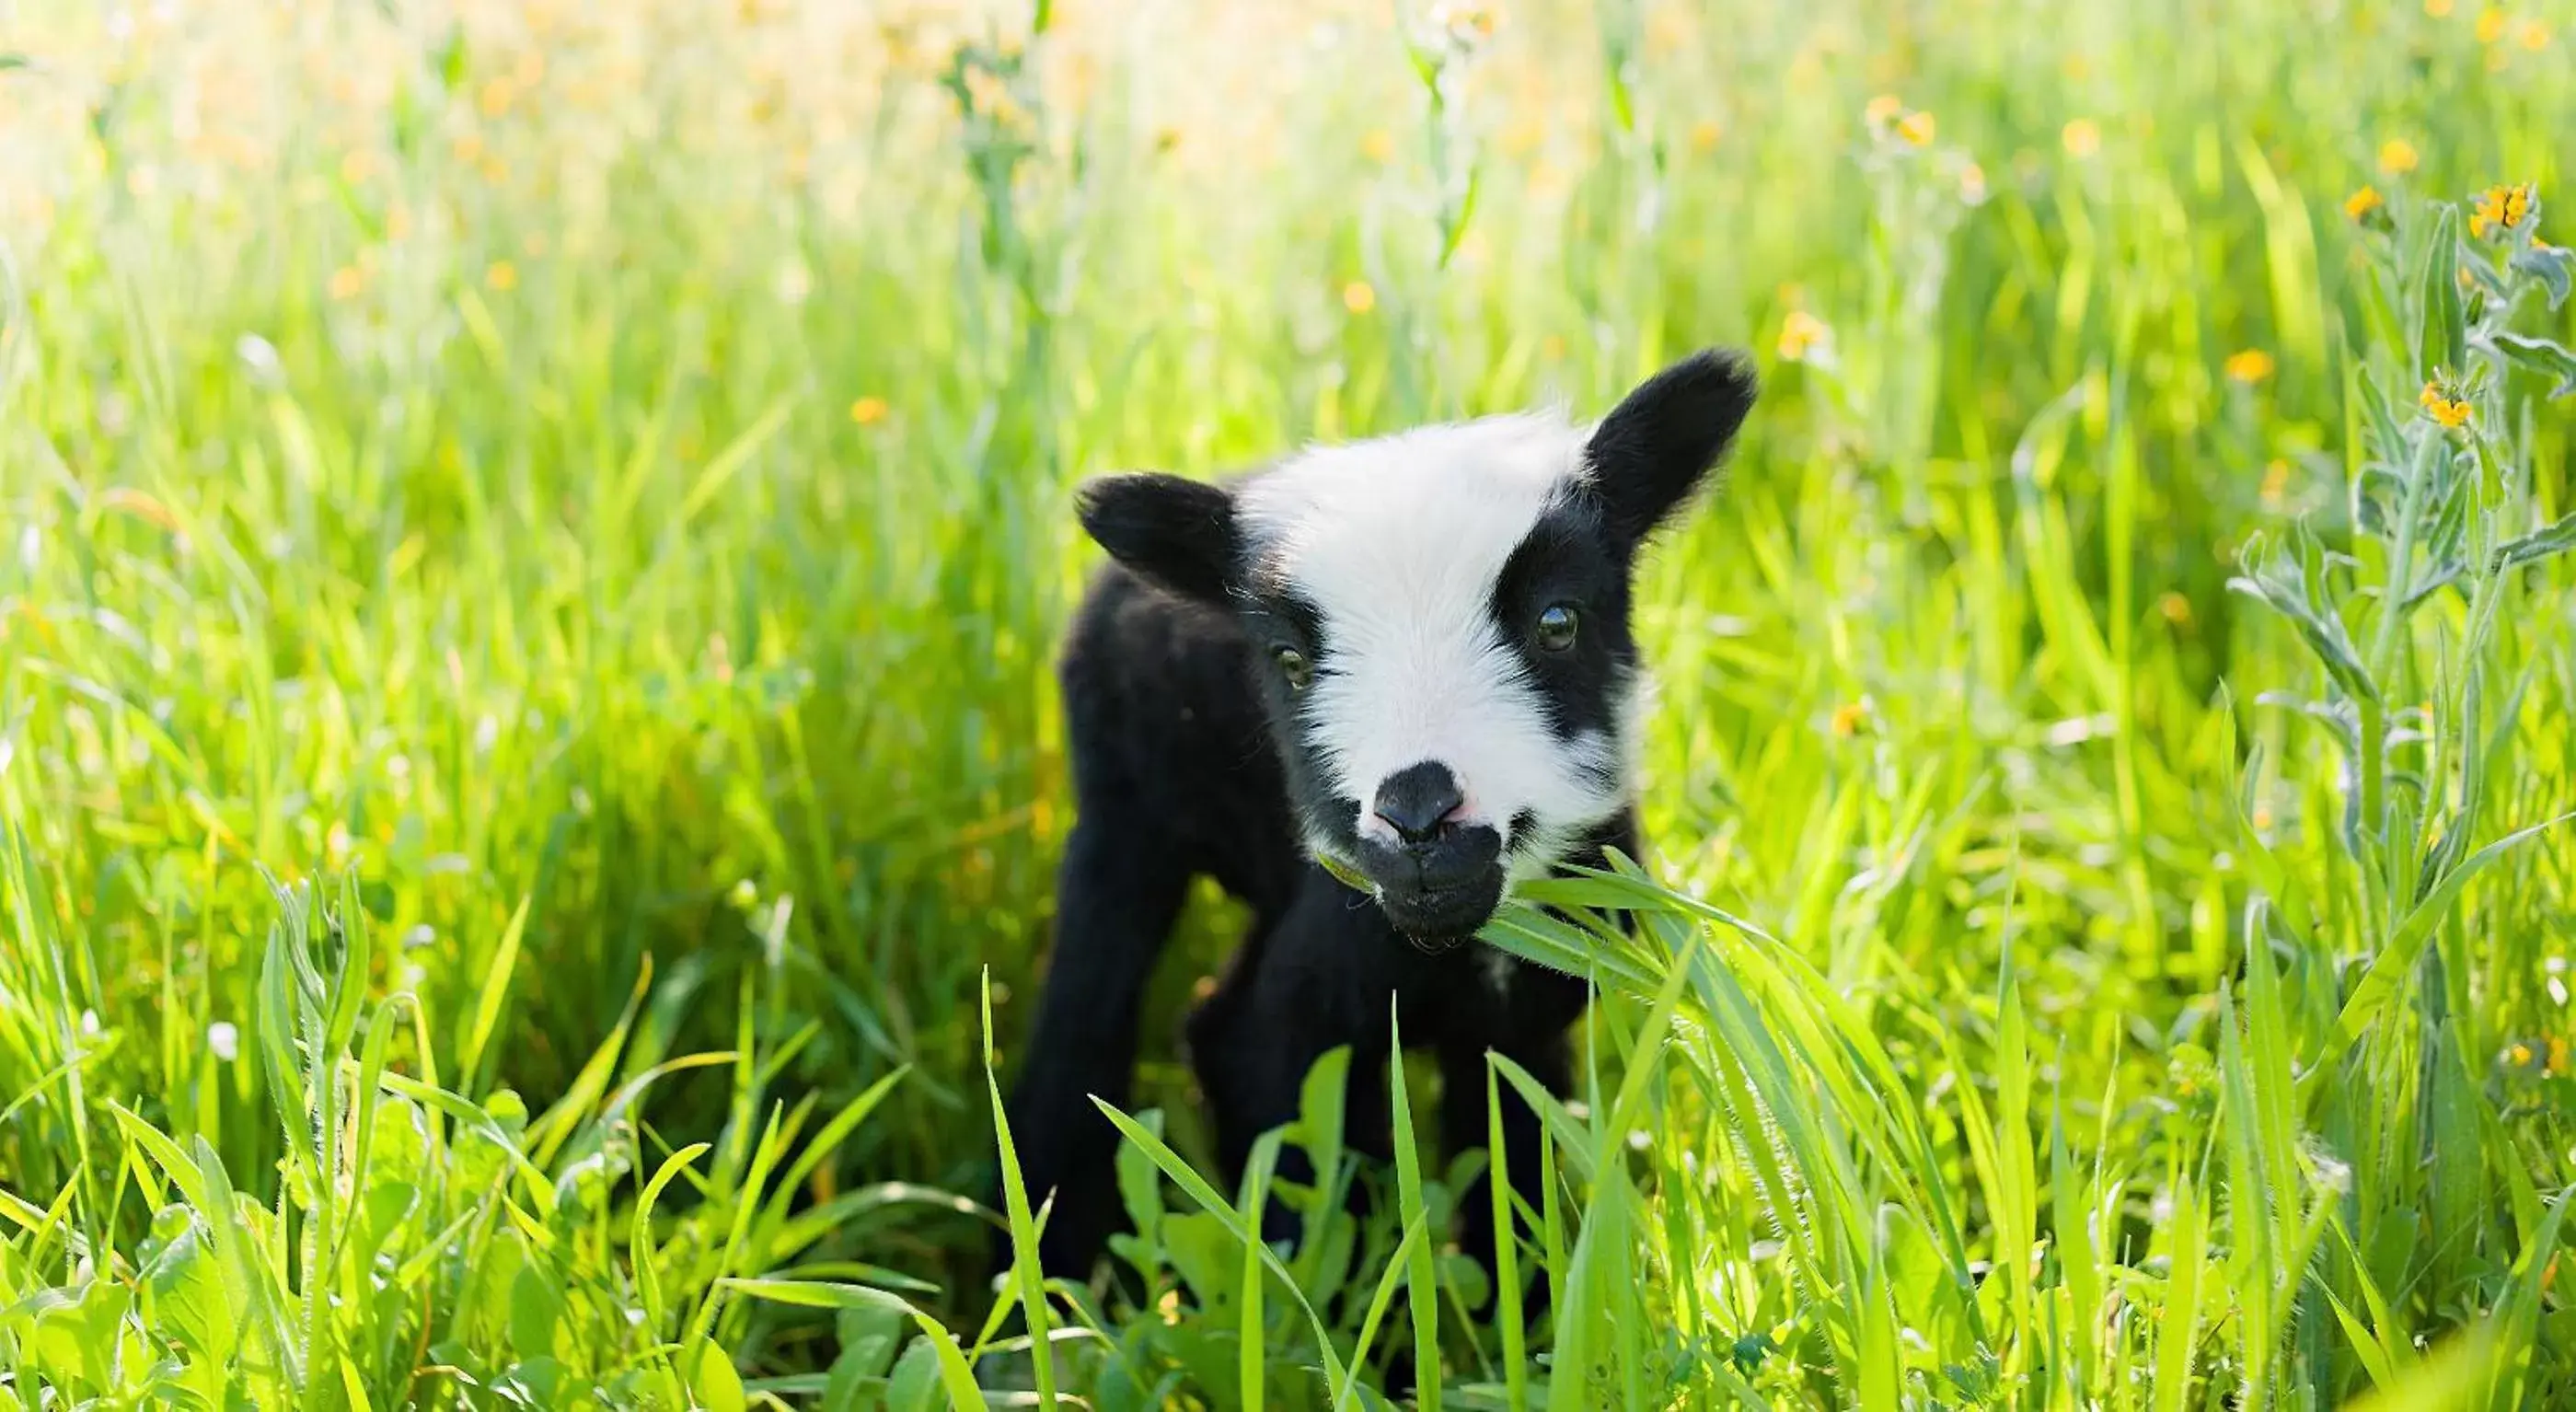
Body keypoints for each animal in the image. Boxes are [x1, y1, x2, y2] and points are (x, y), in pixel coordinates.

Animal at [994, 350, 1762, 1288]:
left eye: (1557, 621)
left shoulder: (1521, 1015)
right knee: (1092, 1019)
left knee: (1216, 1018)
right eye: (1289, 662)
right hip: (1123, 815)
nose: (1419, 815)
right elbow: (1301, 1148)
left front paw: (1525, 1309)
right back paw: (1056, 1268)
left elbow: (1510, 1157)